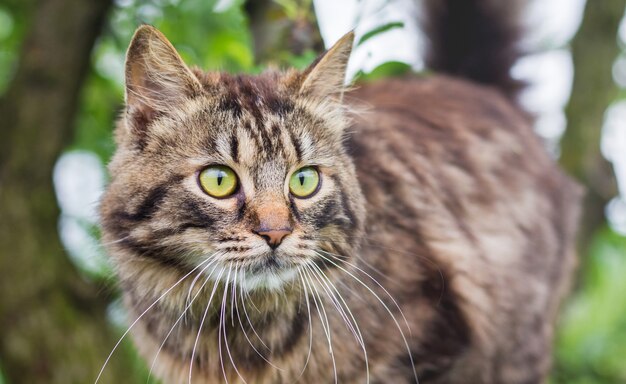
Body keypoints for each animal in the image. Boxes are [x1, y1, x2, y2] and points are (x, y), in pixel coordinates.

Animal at [97, 1, 580, 382]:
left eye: (304, 180)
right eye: (219, 180)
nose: (275, 233)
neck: (241, 333)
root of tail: (474, 88)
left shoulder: (437, 336)